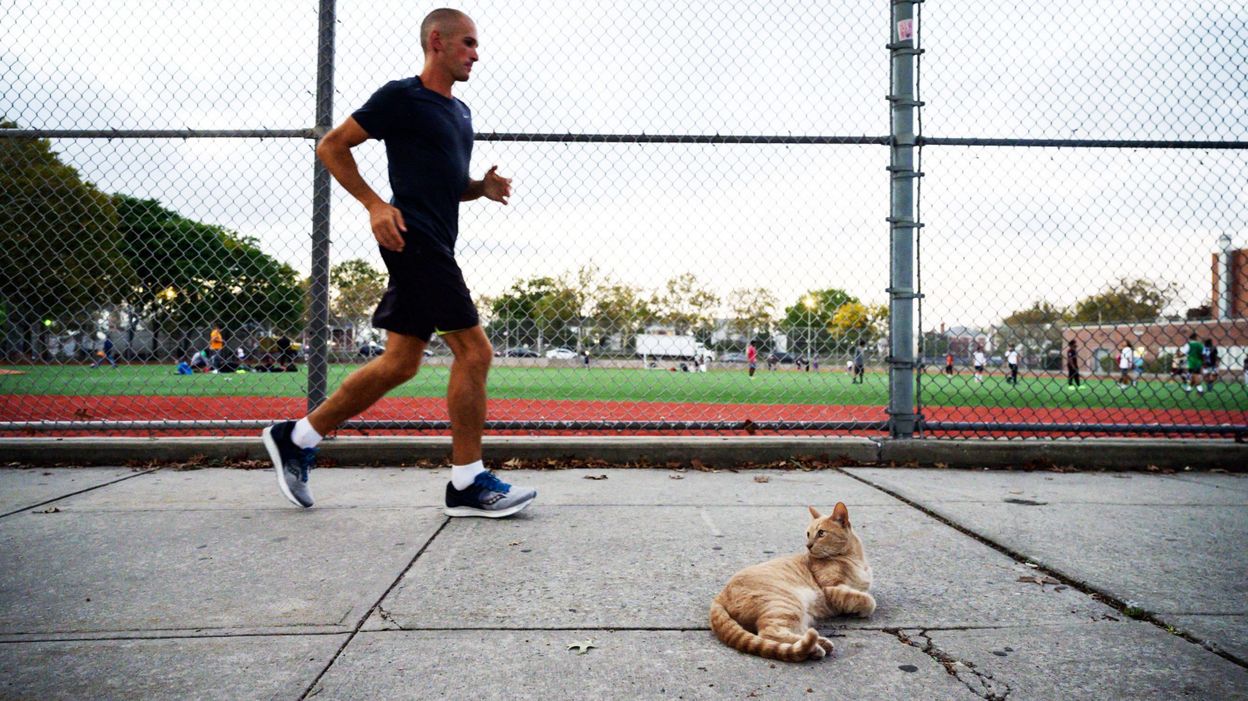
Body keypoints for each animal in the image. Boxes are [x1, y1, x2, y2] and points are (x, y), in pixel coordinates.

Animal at [708, 498, 873, 658]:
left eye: (821, 533)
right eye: (808, 534)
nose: (808, 545)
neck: (853, 558)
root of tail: (719, 596)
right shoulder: (831, 589)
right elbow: (868, 600)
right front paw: (863, 610)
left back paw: (819, 645)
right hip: (786, 603)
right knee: (770, 634)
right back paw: (815, 648)